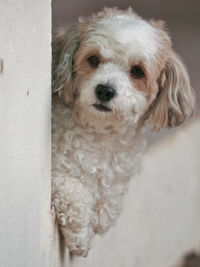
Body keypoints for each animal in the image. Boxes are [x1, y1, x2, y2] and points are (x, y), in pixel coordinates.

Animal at [51, 7, 195, 256]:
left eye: (137, 71)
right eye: (93, 59)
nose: (105, 90)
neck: (99, 135)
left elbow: (109, 203)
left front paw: (101, 215)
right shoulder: (51, 172)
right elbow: (74, 193)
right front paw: (81, 235)